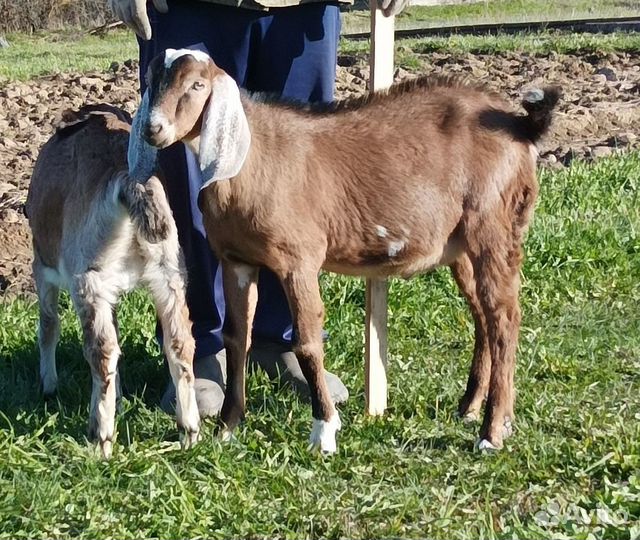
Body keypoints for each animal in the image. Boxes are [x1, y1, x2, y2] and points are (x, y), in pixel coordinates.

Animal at [129, 48, 556, 454]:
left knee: (504, 318)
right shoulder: (237, 260)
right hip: (461, 247)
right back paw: (470, 407)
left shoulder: (298, 258)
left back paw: (492, 431)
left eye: (197, 85)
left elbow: (306, 342)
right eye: (151, 79)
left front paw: (324, 430)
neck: (254, 158)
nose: (153, 129)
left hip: (494, 225)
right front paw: (228, 428)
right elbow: (237, 338)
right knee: (484, 316)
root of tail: (519, 125)